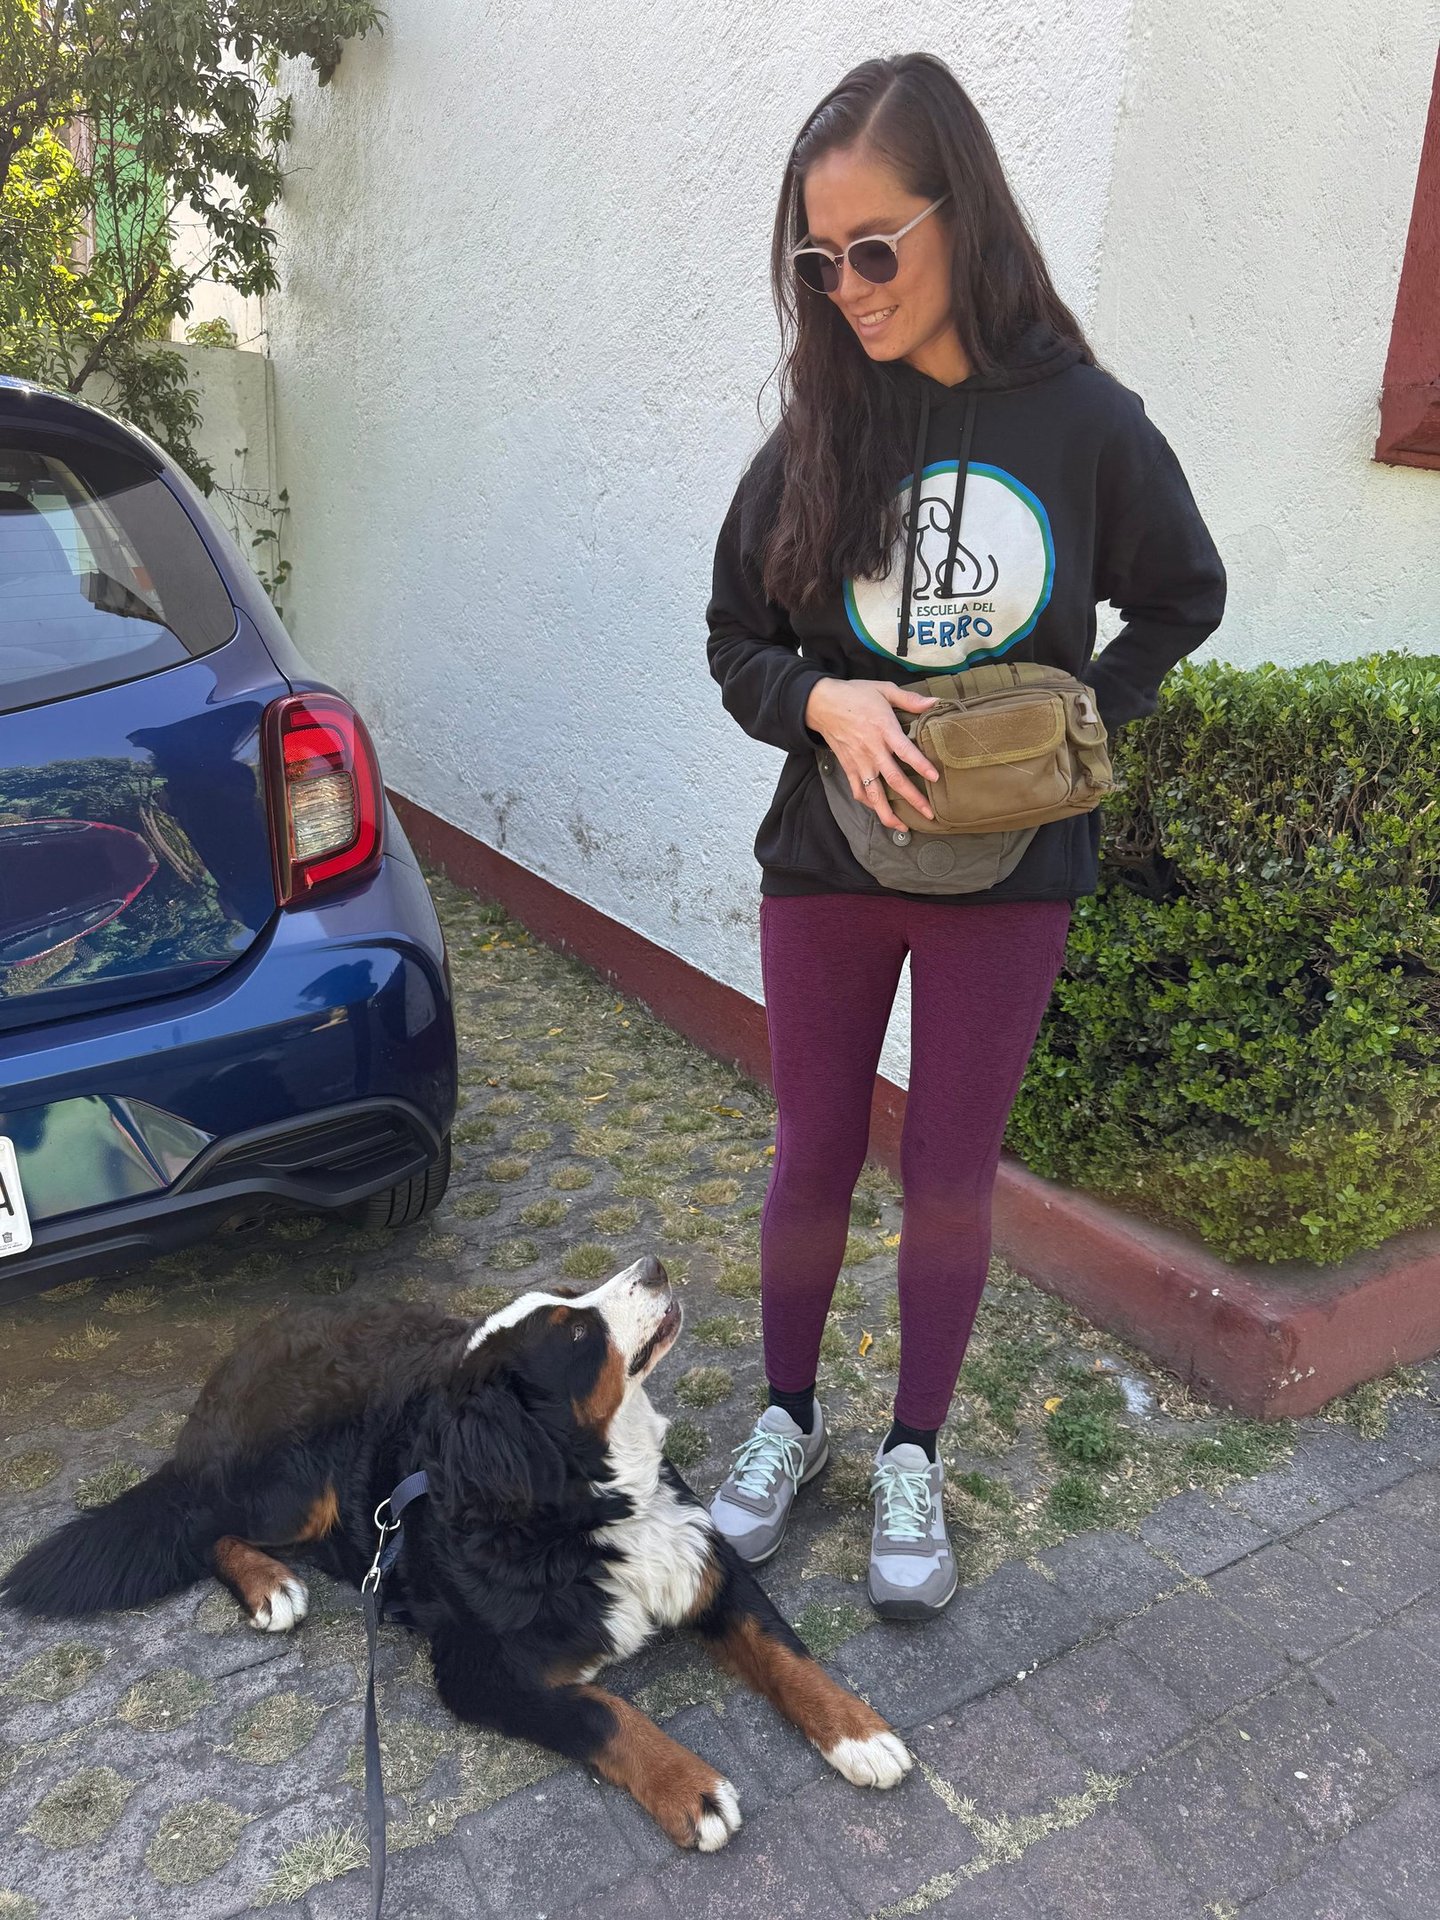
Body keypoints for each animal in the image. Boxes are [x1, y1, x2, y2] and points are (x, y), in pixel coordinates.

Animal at [1, 1256, 911, 1850]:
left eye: (573, 1296)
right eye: (575, 1331)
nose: (653, 1263)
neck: (586, 1506)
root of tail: (233, 1360)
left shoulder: (706, 1564)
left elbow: (785, 1653)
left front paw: (859, 1732)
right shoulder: (478, 1670)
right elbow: (604, 1712)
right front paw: (690, 1789)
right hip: (295, 1486)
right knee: (204, 1524)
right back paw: (269, 1587)